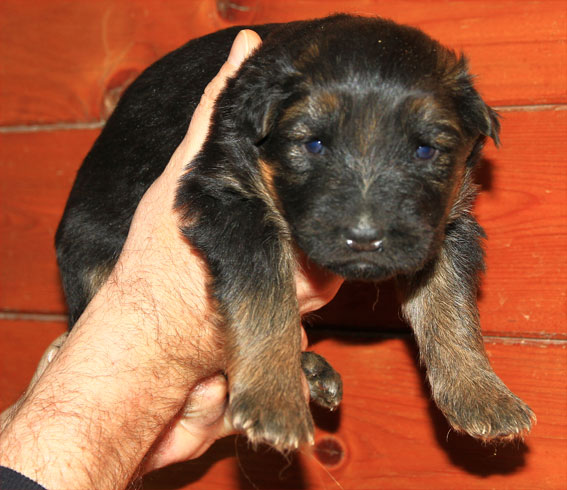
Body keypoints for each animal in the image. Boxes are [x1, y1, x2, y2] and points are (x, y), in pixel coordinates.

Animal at [56, 14, 534, 452]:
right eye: (314, 144)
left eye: (425, 150)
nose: (365, 238)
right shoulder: (228, 197)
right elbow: (266, 298)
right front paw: (274, 400)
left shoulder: (444, 223)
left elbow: (449, 303)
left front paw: (480, 393)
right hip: (88, 261)